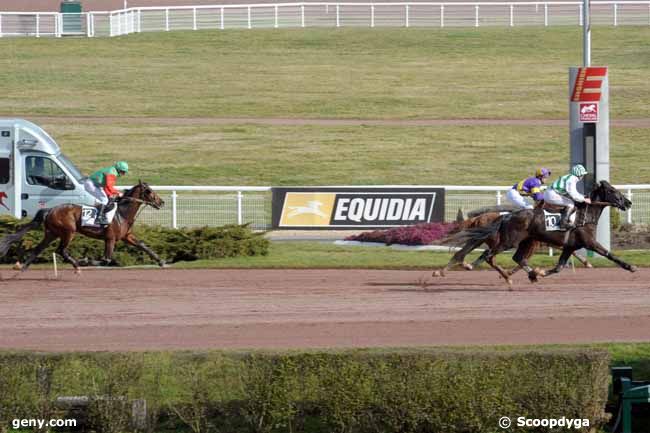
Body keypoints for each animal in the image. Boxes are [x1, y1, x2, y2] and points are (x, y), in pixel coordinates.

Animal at [0, 181, 165, 272]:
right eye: (149, 191)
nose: (161, 202)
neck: (122, 213)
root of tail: (50, 209)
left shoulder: (126, 236)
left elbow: (143, 245)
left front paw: (160, 261)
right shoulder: (110, 239)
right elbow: (106, 259)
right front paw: (85, 260)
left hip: (52, 233)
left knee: (38, 250)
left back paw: (21, 270)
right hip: (68, 231)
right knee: (61, 251)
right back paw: (77, 264)